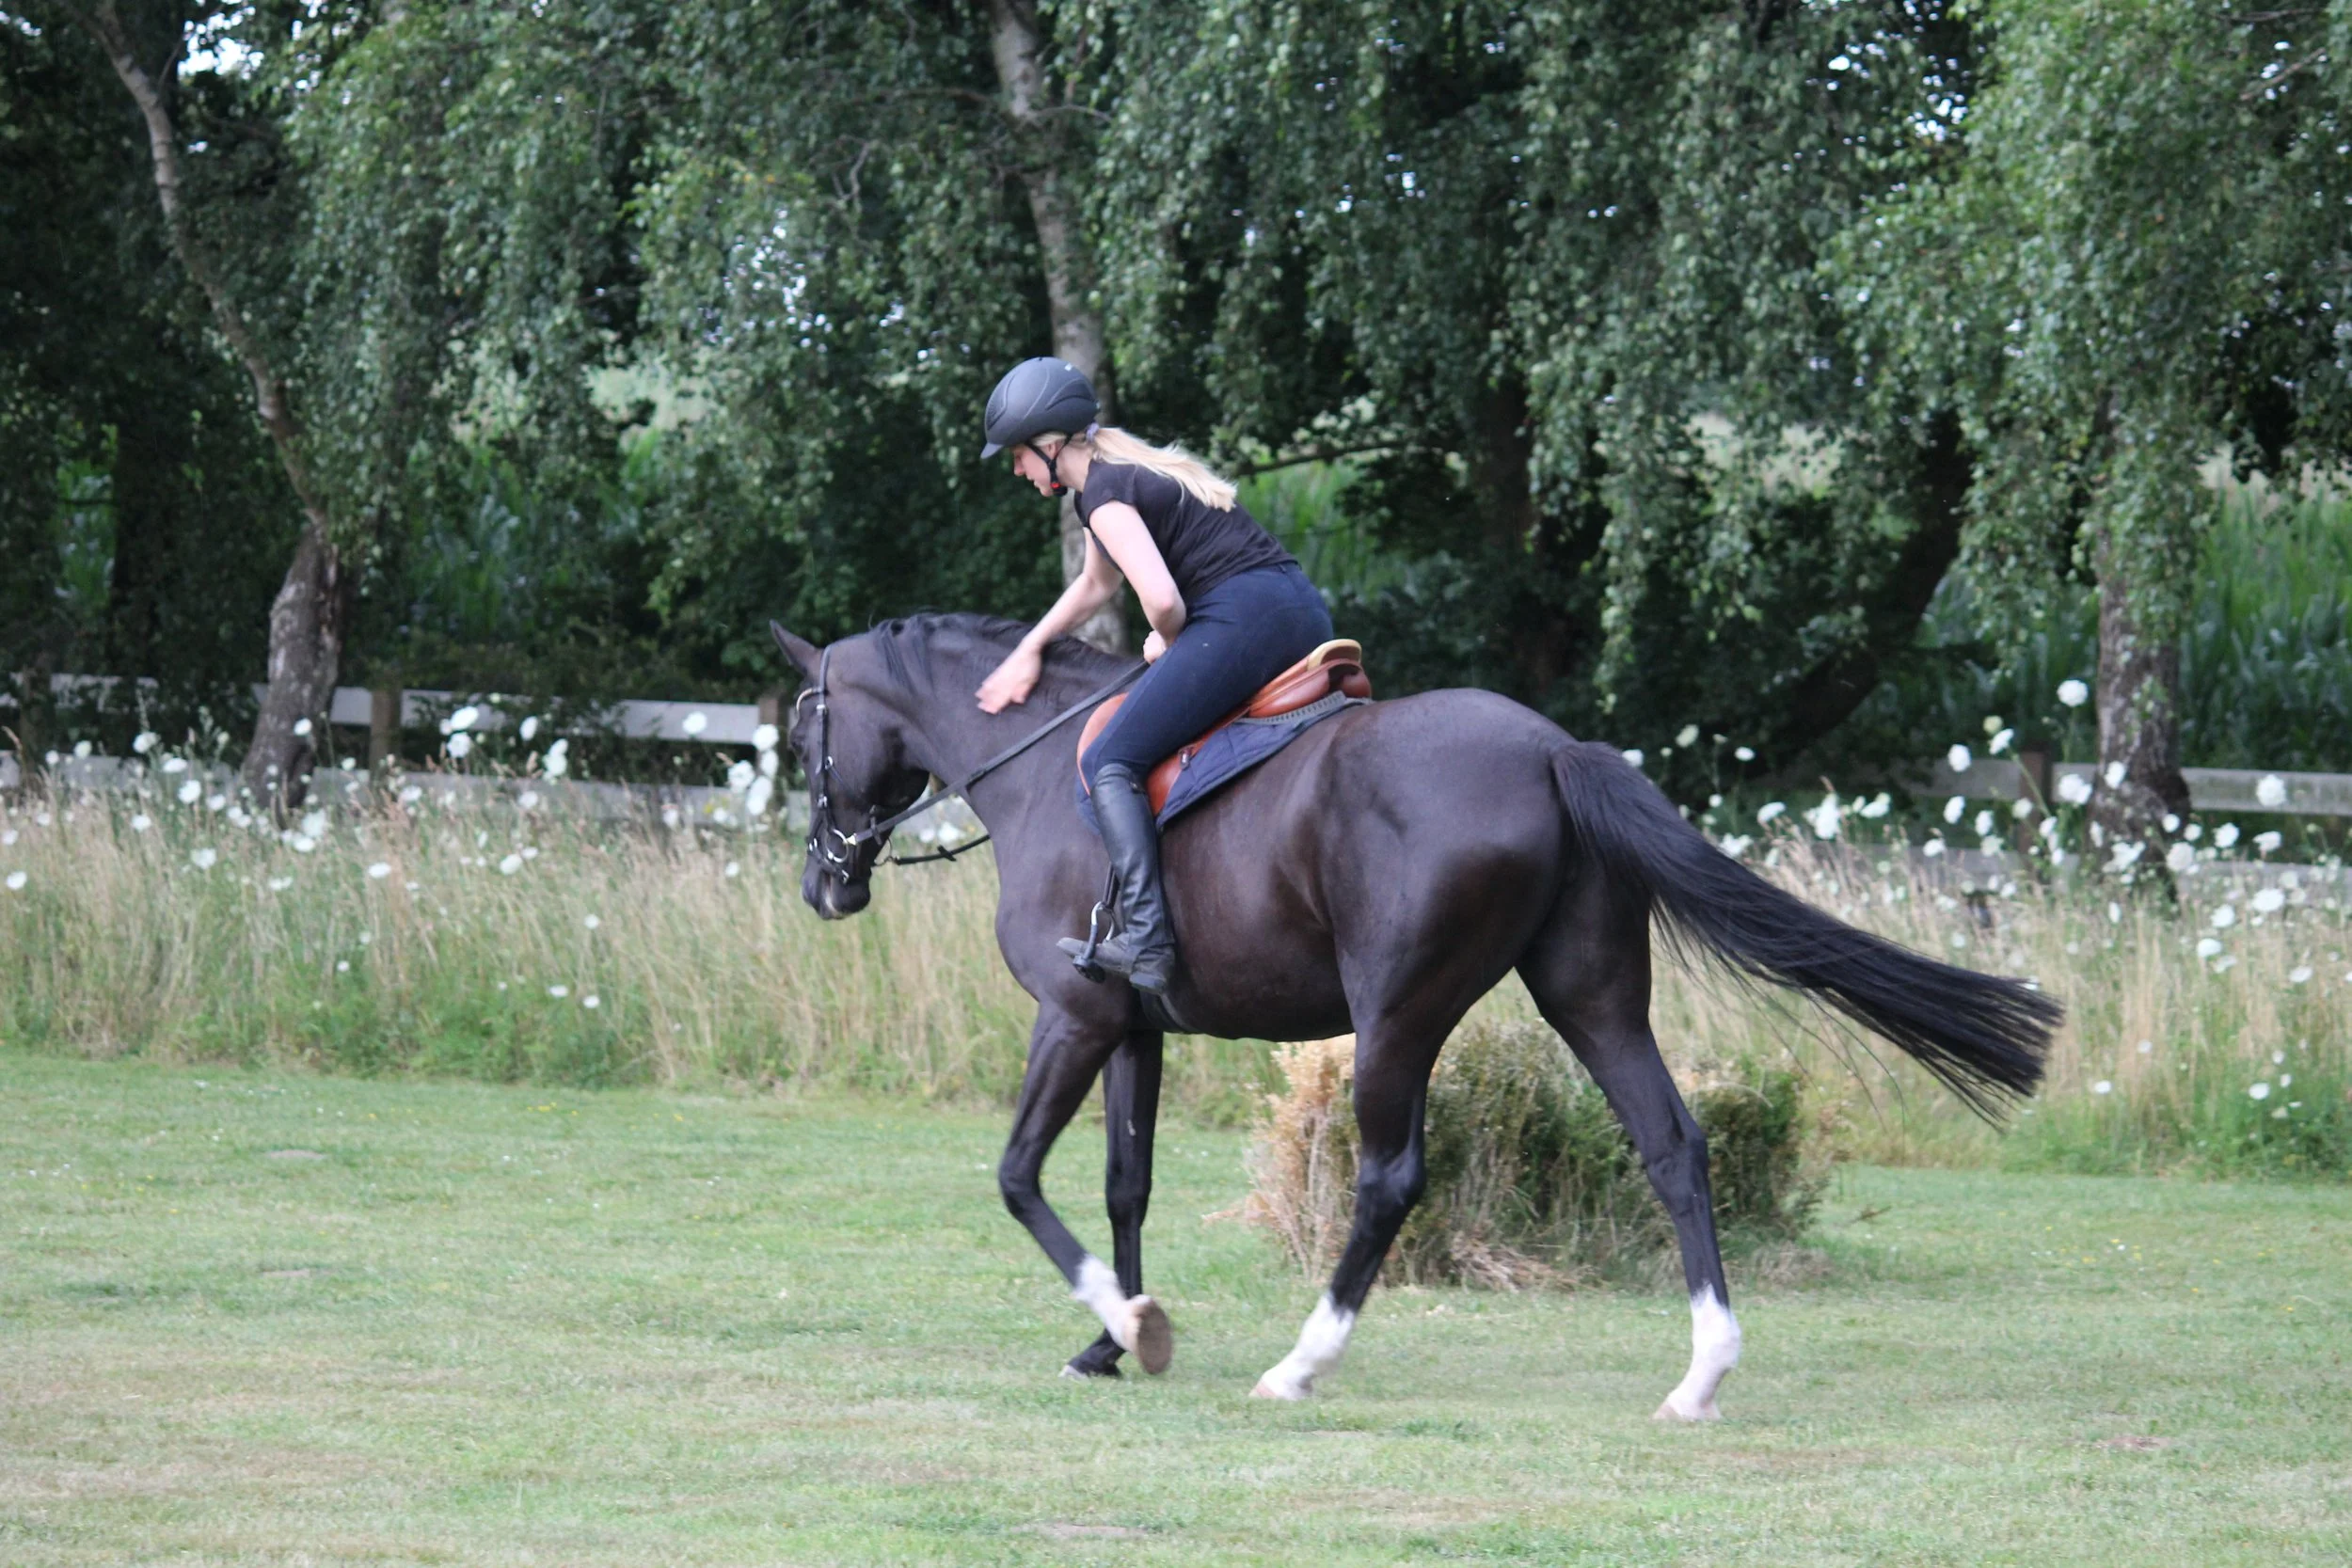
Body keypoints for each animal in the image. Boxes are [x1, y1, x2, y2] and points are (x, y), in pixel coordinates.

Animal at [770, 614, 2059, 1417]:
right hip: (1591, 995)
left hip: (1396, 1013)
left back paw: (1301, 1363)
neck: (1036, 764)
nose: (824, 886)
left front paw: (1127, 1327)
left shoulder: (1075, 1016)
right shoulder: (1134, 1027)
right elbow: (1123, 1185)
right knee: (1672, 1143)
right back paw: (1701, 1374)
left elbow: (1019, 1174)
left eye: (800, 731)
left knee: (1388, 1177)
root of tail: (1551, 749)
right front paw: (1118, 1332)